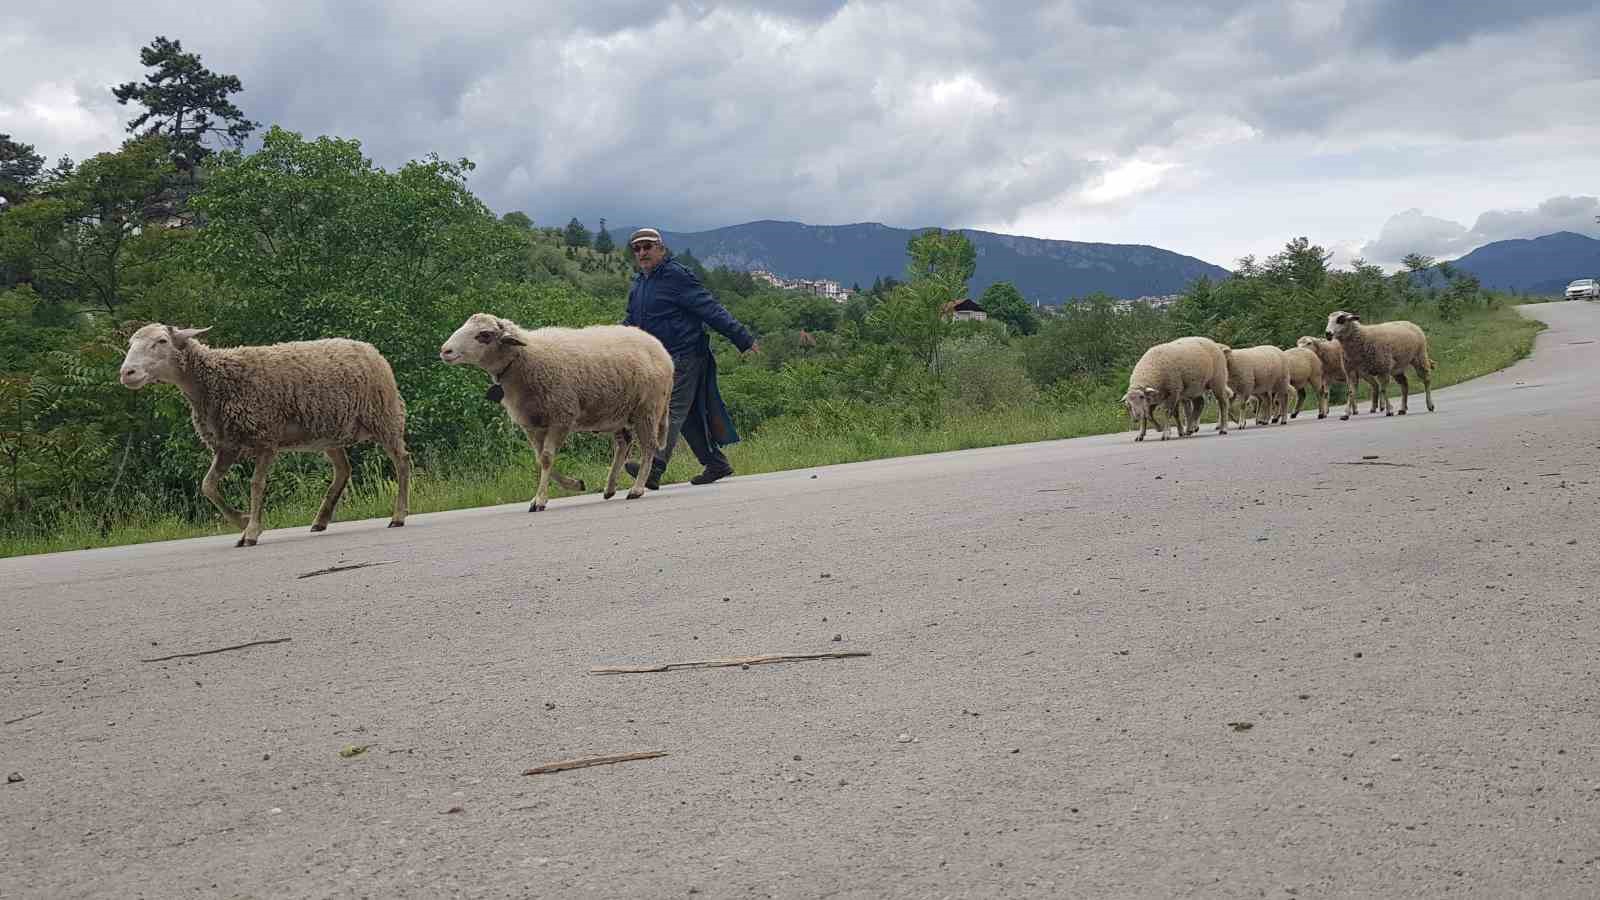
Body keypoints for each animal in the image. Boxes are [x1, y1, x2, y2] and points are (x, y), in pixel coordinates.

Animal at [118, 323, 412, 547]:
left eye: (161, 341)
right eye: (131, 343)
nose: (126, 372)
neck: (213, 383)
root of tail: (370, 348)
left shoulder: (265, 439)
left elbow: (256, 485)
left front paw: (251, 531)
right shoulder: (227, 445)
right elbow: (208, 486)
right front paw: (242, 520)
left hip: (384, 417)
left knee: (401, 461)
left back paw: (398, 515)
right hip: (329, 433)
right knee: (343, 470)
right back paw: (320, 520)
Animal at [435, 312, 672, 509]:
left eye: (484, 335)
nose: (445, 351)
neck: (524, 358)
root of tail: (657, 345)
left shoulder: (561, 416)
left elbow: (547, 458)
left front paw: (539, 500)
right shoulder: (531, 424)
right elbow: (540, 458)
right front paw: (575, 484)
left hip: (648, 409)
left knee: (649, 446)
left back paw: (637, 488)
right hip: (616, 412)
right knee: (623, 444)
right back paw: (610, 487)